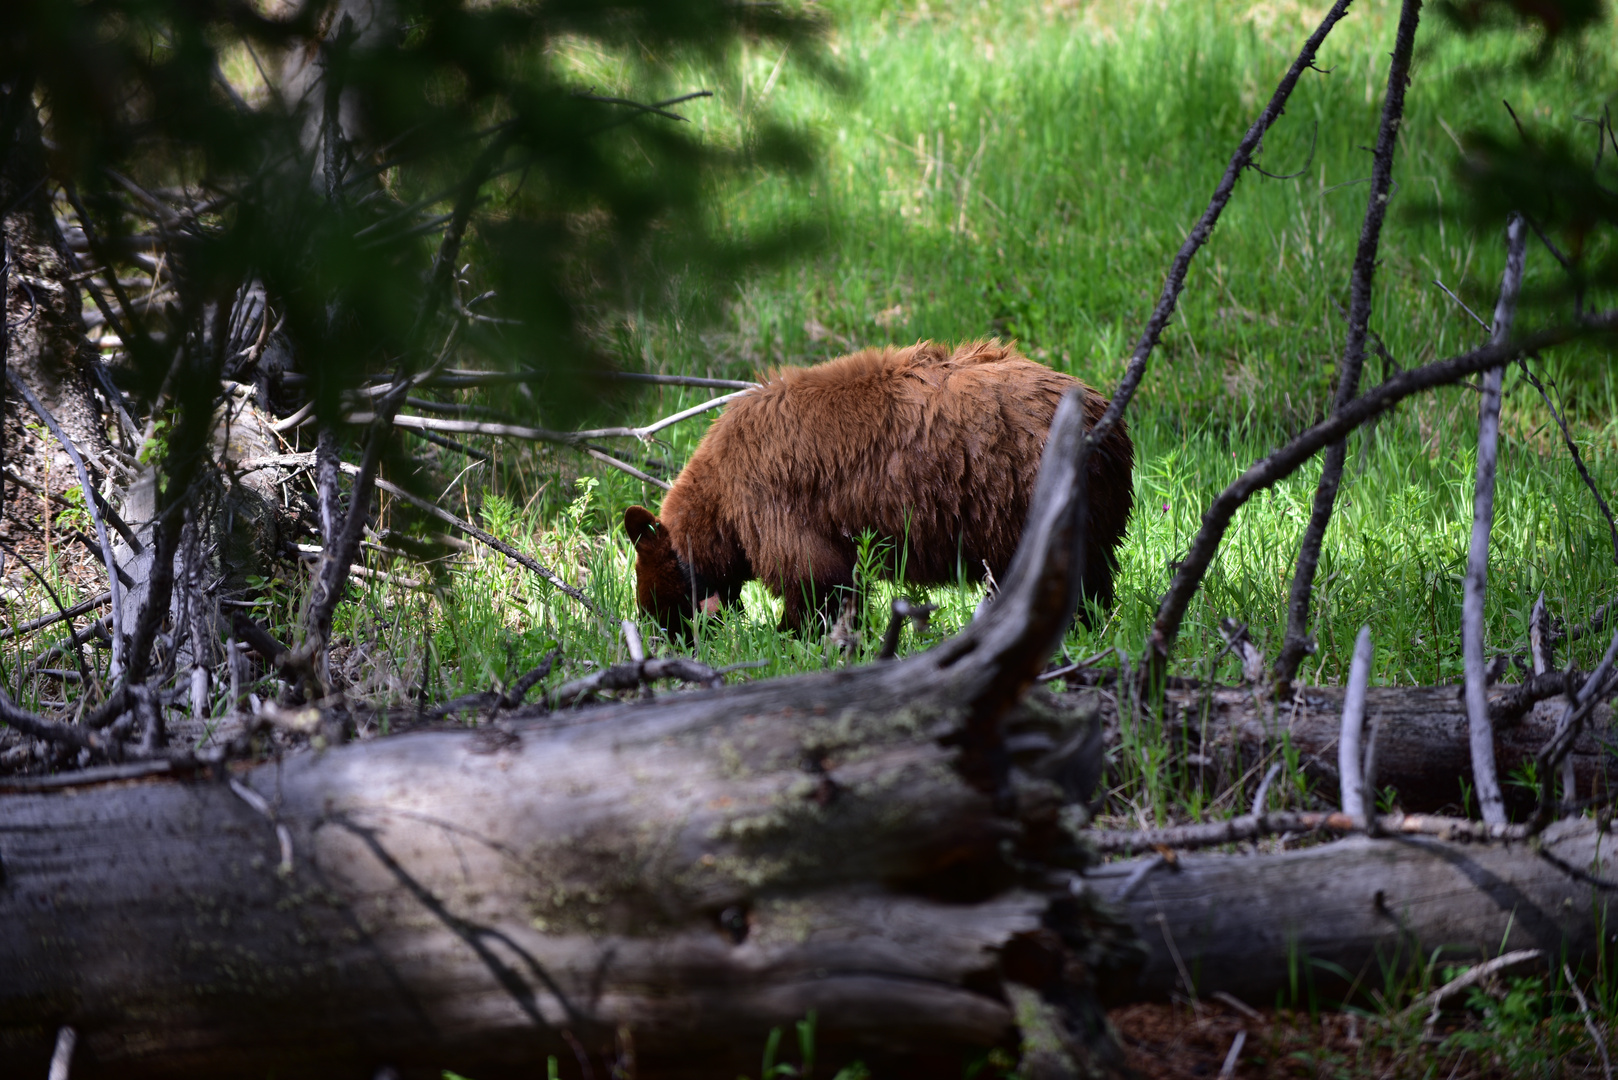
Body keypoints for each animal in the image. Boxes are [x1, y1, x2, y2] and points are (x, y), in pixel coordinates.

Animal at [621, 341, 1139, 637]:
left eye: (651, 603)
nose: (662, 640)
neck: (720, 502)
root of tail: (1107, 421)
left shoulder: (772, 501)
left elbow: (816, 579)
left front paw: (791, 634)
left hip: (1022, 493)